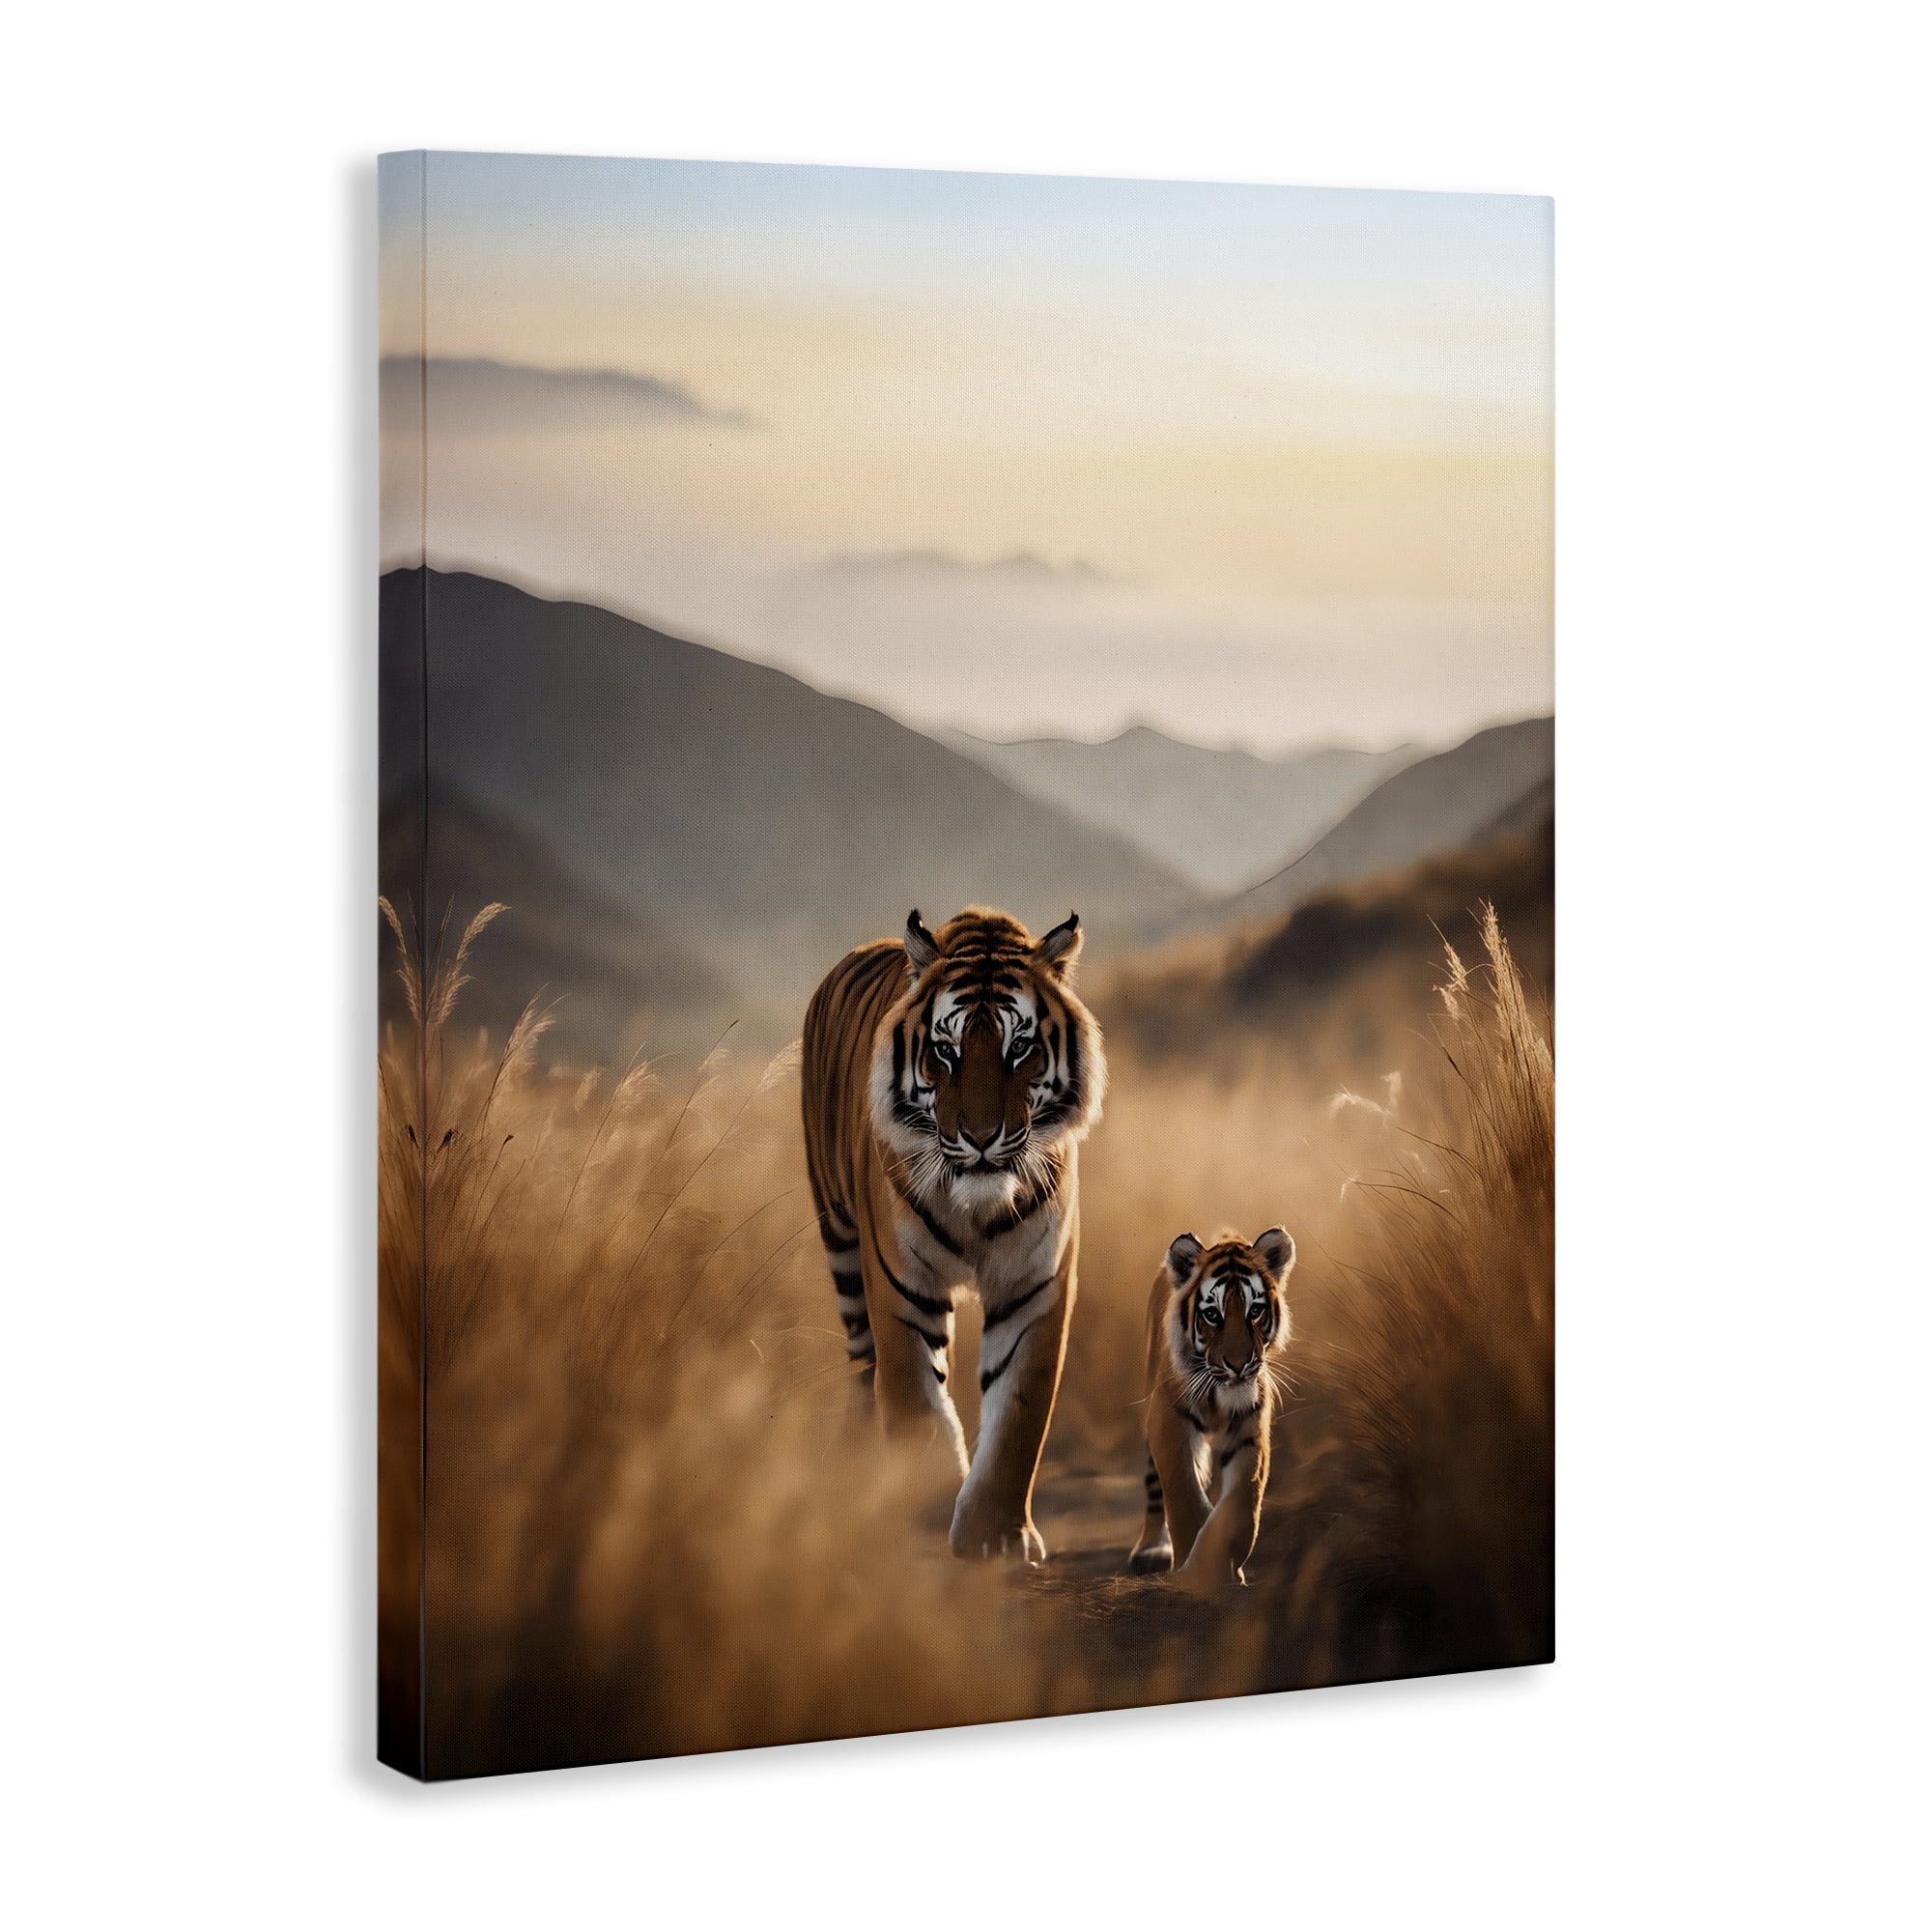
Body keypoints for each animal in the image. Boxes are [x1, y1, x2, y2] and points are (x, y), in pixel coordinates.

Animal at [802, 905, 1105, 1562]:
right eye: (945, 1051)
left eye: (1020, 1048)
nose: (981, 1137)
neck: (976, 1211)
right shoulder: (902, 1288)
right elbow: (917, 1405)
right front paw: (926, 1512)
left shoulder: (1033, 1289)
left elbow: (1018, 1418)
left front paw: (994, 1535)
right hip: (841, 1244)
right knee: (863, 1373)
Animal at [1127, 1226, 1296, 1589]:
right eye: (1212, 1315)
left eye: (1254, 1311)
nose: (1238, 1364)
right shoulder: (1169, 1422)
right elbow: (1186, 1499)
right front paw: (1196, 1572)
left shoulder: (1250, 1433)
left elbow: (1240, 1504)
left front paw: (1218, 1566)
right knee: (1154, 1488)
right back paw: (1150, 1550)